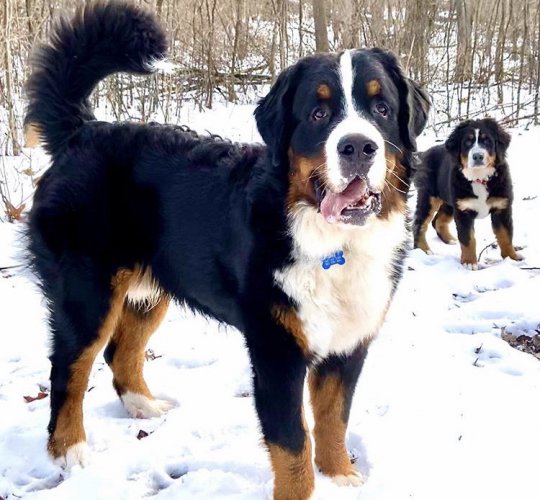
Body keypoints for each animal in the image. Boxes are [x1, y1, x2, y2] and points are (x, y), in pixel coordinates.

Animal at [412, 118, 520, 270]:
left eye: (487, 141)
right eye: (467, 143)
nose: (478, 156)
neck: (479, 178)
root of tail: (424, 153)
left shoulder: (501, 208)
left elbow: (505, 236)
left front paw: (512, 258)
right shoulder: (464, 211)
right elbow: (468, 239)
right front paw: (469, 262)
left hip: (450, 201)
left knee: (438, 220)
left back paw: (449, 240)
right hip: (429, 197)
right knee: (419, 224)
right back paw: (423, 250)